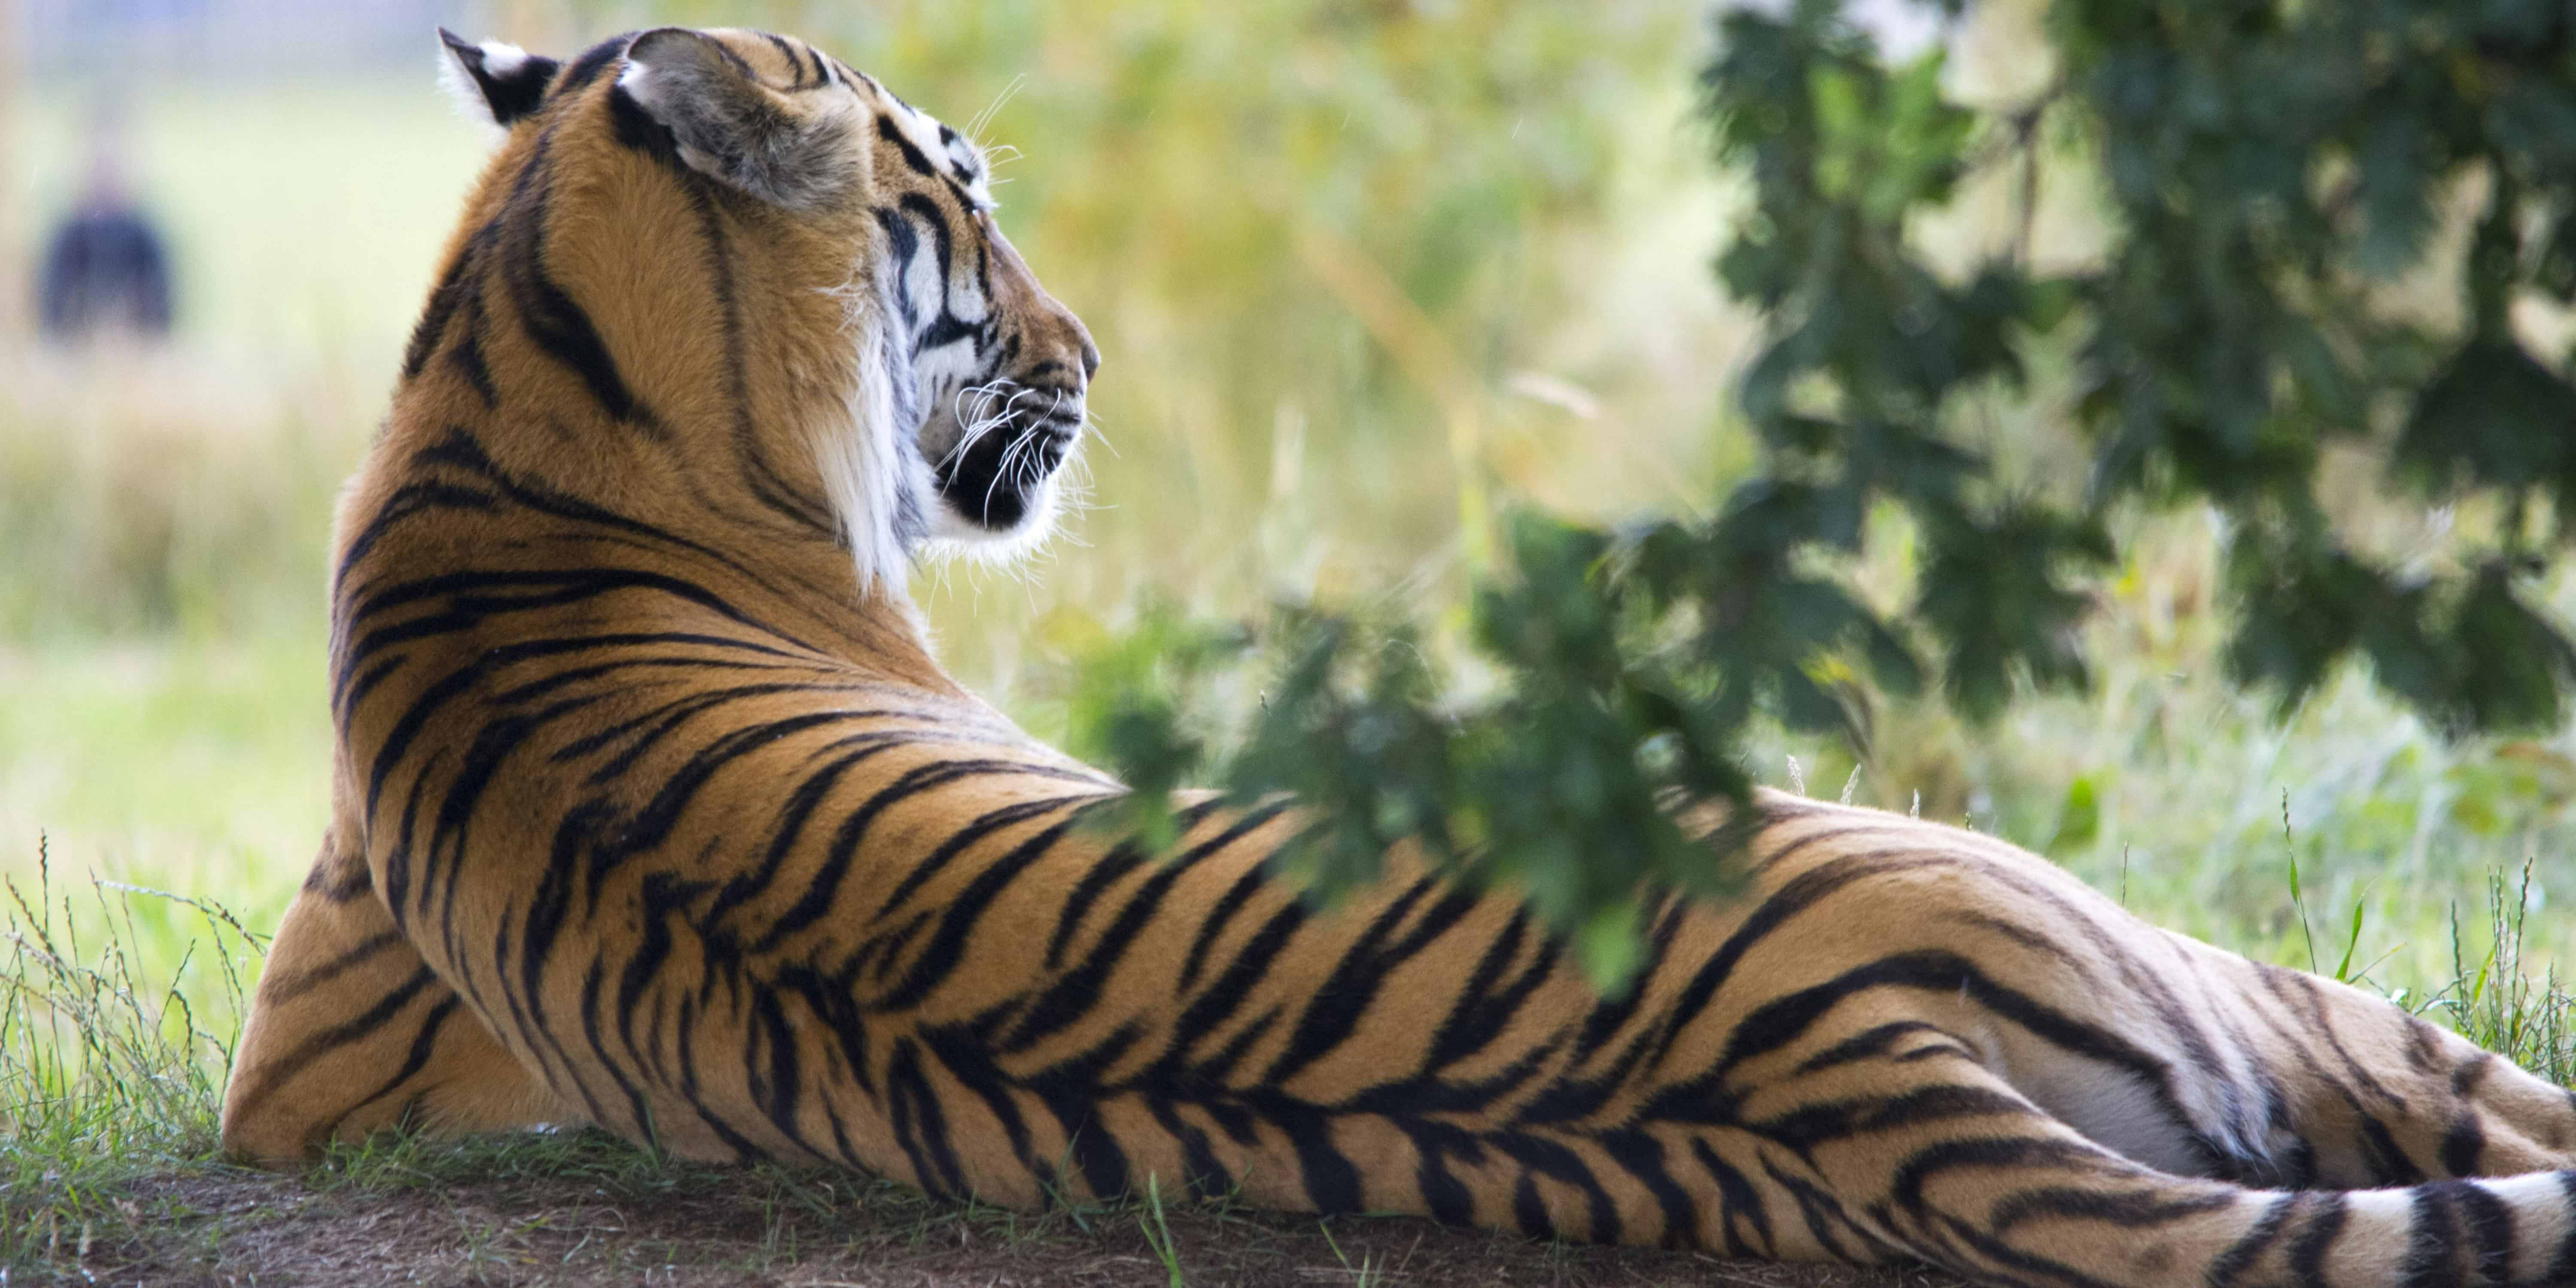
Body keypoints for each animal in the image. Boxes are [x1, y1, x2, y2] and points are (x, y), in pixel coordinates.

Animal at [216, 24, 2576, 1288]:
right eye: (956, 204)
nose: (1096, 352)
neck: (511, 385)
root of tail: (1832, 1067)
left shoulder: (298, 1065)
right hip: (2211, 968)